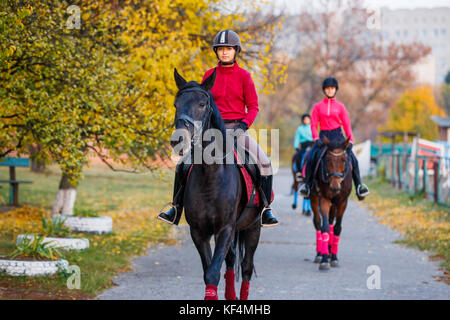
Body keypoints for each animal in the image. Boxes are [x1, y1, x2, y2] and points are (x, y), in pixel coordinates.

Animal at [173, 68, 264, 300]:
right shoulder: (198, 232)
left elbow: (213, 272)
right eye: (176, 104)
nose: (178, 140)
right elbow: (209, 271)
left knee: (246, 267)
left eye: (202, 104)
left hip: (253, 227)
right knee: (231, 261)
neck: (211, 176)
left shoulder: (225, 229)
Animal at [310, 137, 352, 270]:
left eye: (344, 160)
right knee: (318, 222)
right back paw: (320, 254)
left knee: (331, 221)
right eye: (327, 160)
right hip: (314, 198)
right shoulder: (324, 199)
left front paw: (333, 257)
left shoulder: (343, 202)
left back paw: (329, 251)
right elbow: (325, 228)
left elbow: (337, 228)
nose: (334, 187)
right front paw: (324, 260)